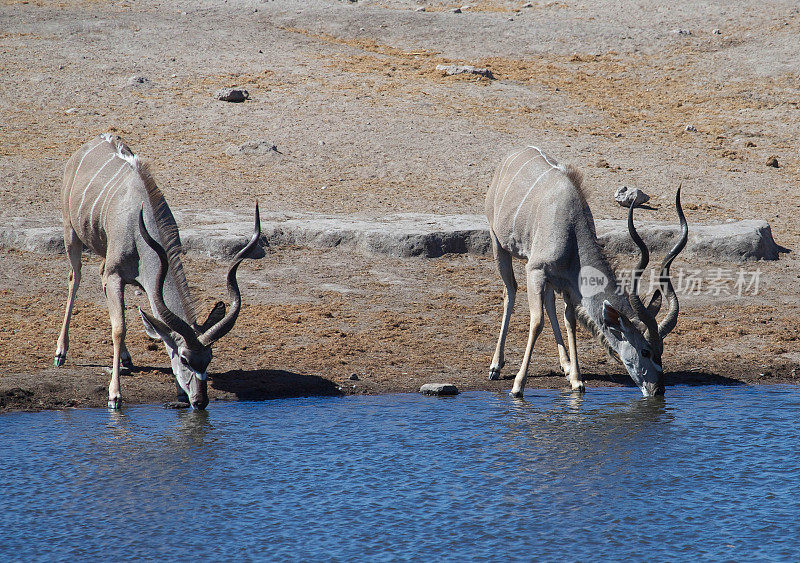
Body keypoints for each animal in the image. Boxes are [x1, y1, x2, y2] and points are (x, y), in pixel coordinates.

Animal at [57, 135, 262, 410]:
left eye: (209, 358)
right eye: (185, 359)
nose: (200, 401)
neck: (138, 224)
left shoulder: (139, 279)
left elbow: (161, 333)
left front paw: (179, 395)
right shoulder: (115, 275)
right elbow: (119, 328)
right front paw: (114, 395)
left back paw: (126, 358)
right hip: (71, 233)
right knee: (74, 278)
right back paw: (60, 352)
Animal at [484, 148, 692, 398]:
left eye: (661, 350)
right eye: (645, 351)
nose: (658, 390)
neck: (570, 228)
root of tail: (512, 155)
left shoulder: (567, 284)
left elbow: (570, 321)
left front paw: (576, 380)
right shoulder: (535, 271)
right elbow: (536, 322)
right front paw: (517, 386)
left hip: (550, 280)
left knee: (549, 303)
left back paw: (565, 364)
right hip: (498, 243)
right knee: (510, 292)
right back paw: (495, 366)